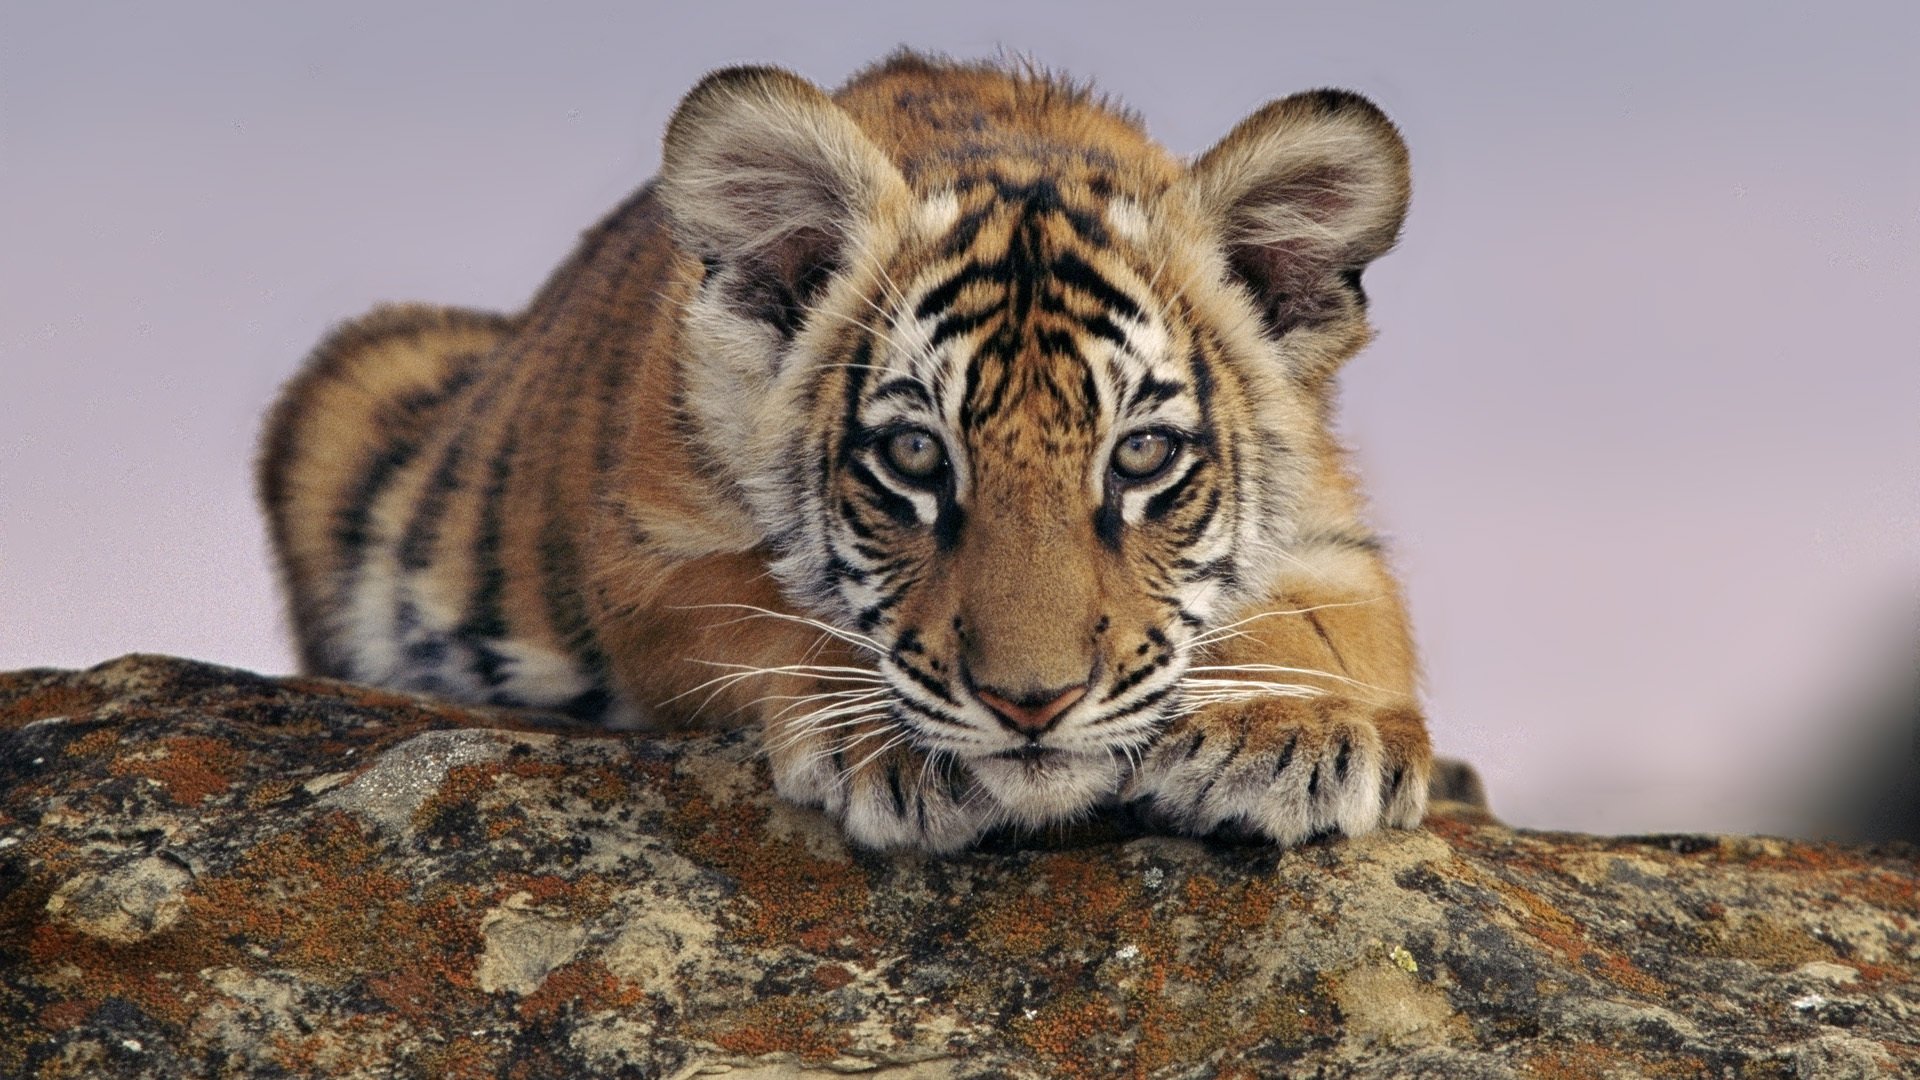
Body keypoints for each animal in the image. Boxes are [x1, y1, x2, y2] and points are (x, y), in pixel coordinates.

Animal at [259, 52, 1433, 853]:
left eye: (1140, 457)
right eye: (915, 456)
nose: (1032, 707)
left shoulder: (1335, 535)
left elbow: (1327, 625)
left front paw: (1289, 728)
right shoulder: (648, 554)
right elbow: (768, 606)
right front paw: (892, 743)